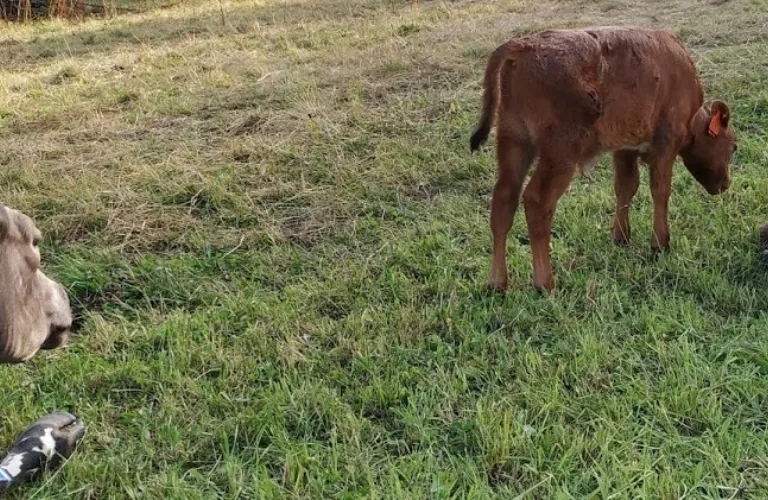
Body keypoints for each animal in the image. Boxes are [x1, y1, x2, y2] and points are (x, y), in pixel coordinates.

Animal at [470, 27, 737, 292]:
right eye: (733, 147)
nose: (725, 183)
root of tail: (522, 46)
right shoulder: (666, 143)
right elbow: (660, 190)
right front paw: (660, 244)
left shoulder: (625, 148)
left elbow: (625, 187)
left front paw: (621, 237)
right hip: (559, 154)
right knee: (537, 202)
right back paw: (545, 283)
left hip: (513, 143)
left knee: (504, 200)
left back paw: (496, 283)